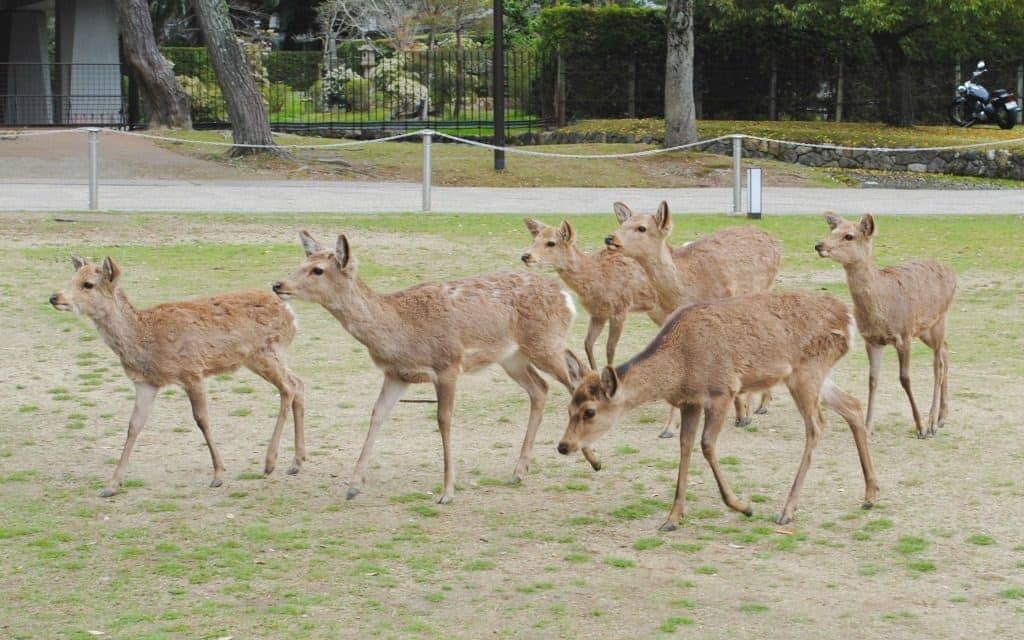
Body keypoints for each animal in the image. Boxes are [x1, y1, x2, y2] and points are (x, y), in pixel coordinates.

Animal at [49, 256, 305, 497]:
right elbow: (134, 425)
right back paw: (297, 462)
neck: (144, 340)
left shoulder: (192, 370)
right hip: (260, 358)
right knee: (299, 383)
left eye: (88, 284)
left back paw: (270, 462)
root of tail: (291, 315)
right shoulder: (145, 383)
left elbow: (202, 419)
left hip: (266, 351)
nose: (54, 297)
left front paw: (218, 474)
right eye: (71, 278)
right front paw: (111, 485)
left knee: (288, 388)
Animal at [273, 231, 599, 504]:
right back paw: (519, 471)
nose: (278, 285)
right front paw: (353, 485)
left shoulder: (448, 365)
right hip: (513, 357)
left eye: (317, 269)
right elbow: (377, 415)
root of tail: (566, 298)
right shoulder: (396, 374)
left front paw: (447, 491)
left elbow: (444, 420)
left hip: (545, 343)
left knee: (577, 379)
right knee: (540, 388)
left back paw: (593, 458)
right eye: (303, 261)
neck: (399, 330)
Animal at [557, 291, 880, 531]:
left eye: (589, 412)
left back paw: (787, 510)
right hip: (817, 375)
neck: (680, 369)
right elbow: (685, 445)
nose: (563, 446)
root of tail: (849, 320)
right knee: (852, 405)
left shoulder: (721, 390)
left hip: (807, 372)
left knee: (817, 426)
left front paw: (743, 506)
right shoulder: (689, 402)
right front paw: (672, 518)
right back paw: (870, 494)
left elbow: (707, 445)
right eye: (569, 406)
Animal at [606, 201, 782, 426]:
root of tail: (775, 240)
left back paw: (754, 408)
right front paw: (669, 426)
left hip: (764, 287)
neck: (686, 291)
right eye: (623, 223)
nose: (610, 238)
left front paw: (741, 414)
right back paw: (761, 404)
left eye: (642, 228)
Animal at [816, 213, 957, 438]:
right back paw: (943, 417)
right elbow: (872, 380)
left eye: (849, 236)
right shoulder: (872, 340)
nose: (819, 245)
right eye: (833, 230)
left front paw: (920, 426)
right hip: (925, 329)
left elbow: (905, 378)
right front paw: (867, 427)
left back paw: (932, 423)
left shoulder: (904, 335)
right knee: (945, 348)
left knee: (938, 365)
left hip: (939, 318)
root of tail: (953, 274)